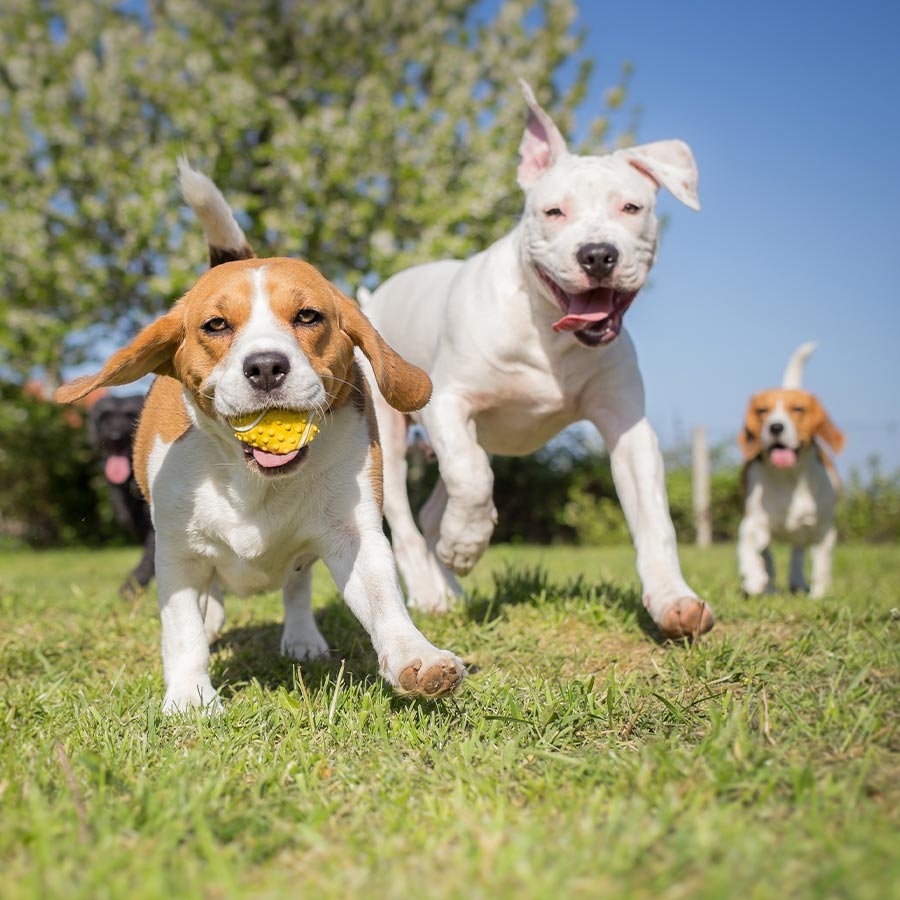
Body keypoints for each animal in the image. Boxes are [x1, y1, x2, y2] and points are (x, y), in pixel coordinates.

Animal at [362, 79, 712, 640]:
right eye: (554, 212)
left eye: (631, 208)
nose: (598, 254)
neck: (549, 332)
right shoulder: (449, 402)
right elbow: (473, 478)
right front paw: (467, 544)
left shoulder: (628, 429)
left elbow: (655, 520)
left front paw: (673, 600)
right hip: (390, 435)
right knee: (408, 516)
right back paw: (431, 591)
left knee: (436, 509)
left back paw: (451, 587)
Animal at [740, 342, 844, 596]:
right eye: (762, 411)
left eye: (797, 409)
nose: (776, 427)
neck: (790, 478)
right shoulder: (753, 520)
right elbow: (749, 547)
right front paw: (753, 578)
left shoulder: (825, 530)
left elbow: (821, 565)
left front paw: (819, 597)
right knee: (768, 555)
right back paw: (768, 586)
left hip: (805, 529)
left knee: (798, 551)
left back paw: (797, 582)